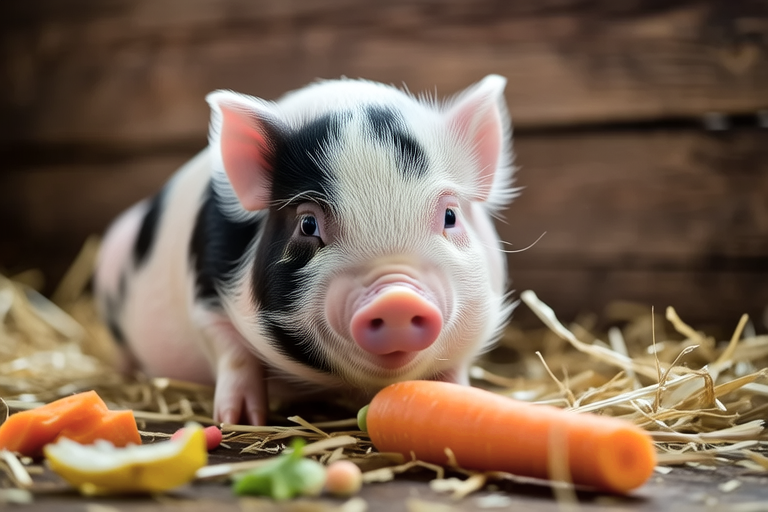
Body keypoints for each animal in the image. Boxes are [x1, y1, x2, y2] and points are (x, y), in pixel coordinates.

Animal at [94, 75, 518, 425]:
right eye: (308, 224)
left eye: (450, 215)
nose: (396, 298)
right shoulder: (206, 296)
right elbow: (234, 354)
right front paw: (240, 420)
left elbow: (454, 371)